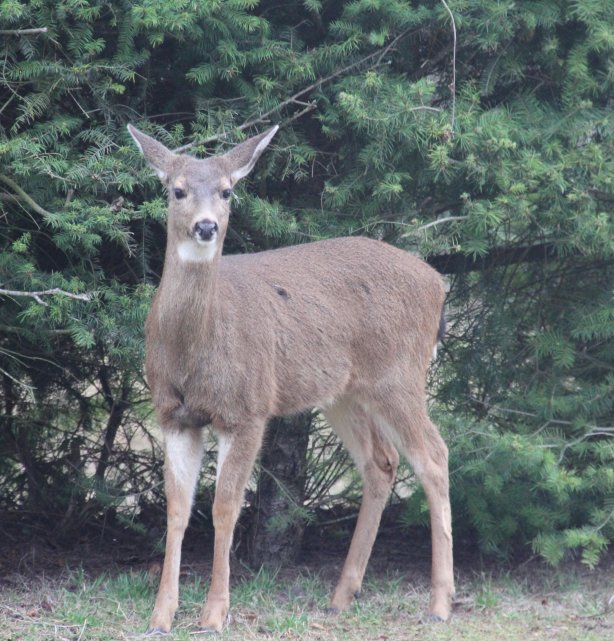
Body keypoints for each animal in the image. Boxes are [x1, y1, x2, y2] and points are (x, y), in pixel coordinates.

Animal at [127, 123, 454, 634]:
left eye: (227, 190)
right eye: (177, 190)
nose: (206, 226)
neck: (192, 352)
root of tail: (438, 283)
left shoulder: (248, 409)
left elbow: (224, 508)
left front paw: (214, 614)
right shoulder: (172, 413)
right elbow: (177, 509)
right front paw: (161, 615)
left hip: (399, 375)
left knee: (434, 456)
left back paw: (440, 603)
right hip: (344, 392)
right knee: (381, 462)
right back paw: (340, 597)